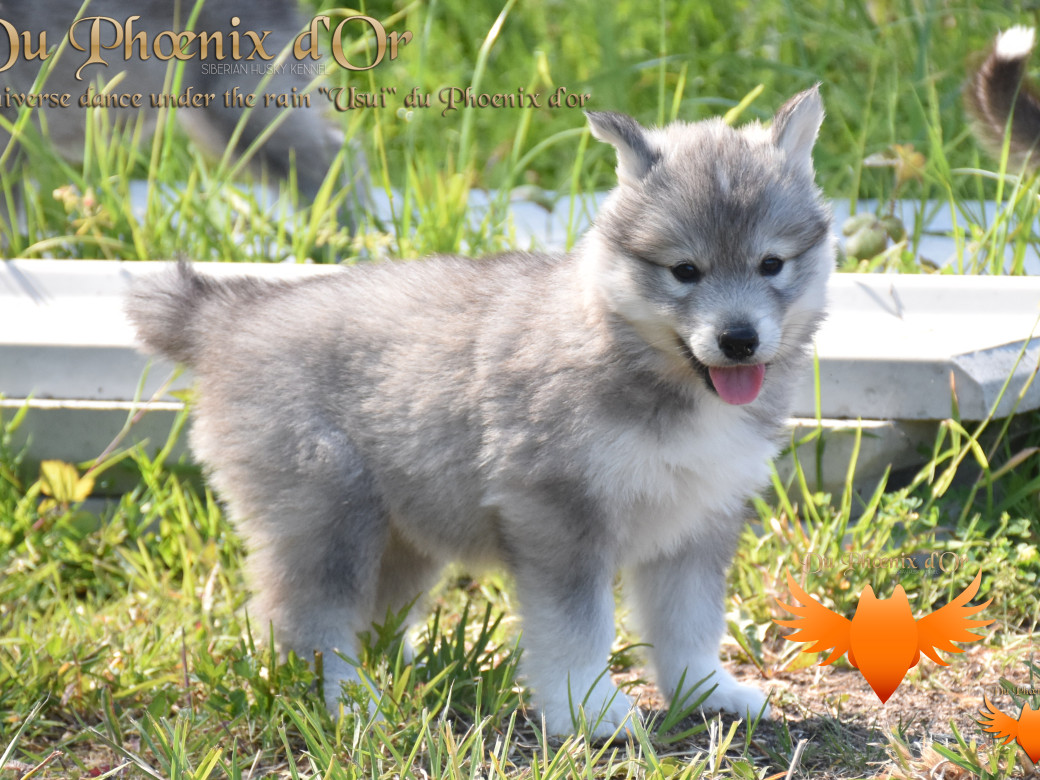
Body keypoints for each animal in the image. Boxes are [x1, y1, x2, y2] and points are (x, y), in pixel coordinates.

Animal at [125, 86, 832, 740]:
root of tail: (228, 316)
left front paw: (706, 691)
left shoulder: (699, 518)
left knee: (370, 614)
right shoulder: (559, 516)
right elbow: (578, 628)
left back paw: (407, 672)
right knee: (310, 623)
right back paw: (351, 701)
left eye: (771, 264)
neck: (635, 359)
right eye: (685, 271)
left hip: (403, 532)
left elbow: (690, 622)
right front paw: (589, 709)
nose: (738, 339)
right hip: (327, 517)